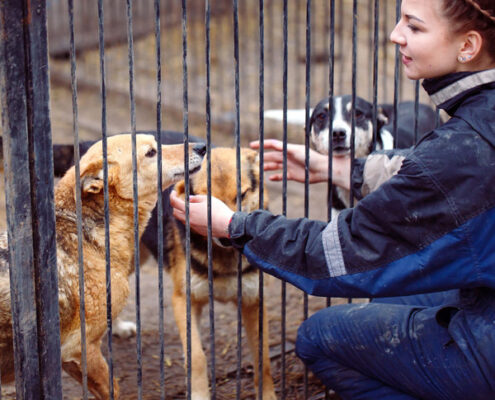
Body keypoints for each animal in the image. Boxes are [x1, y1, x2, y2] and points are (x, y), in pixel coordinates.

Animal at [0, 135, 205, 400]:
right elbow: (112, 389)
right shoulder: (80, 349)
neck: (84, 233)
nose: (202, 146)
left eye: (157, 143)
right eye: (150, 153)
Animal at [168, 148, 278, 400]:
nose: (228, 237)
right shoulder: (183, 300)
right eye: (204, 199)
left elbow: (263, 359)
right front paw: (199, 395)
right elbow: (197, 358)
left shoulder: (253, 301)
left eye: (242, 194)